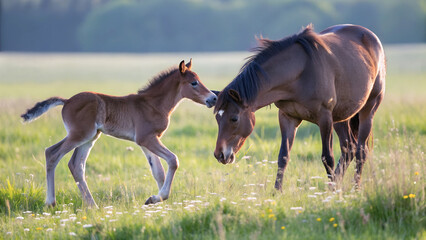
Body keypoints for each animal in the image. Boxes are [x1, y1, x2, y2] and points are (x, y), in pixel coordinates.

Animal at [21, 59, 216, 207]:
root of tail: (67, 100)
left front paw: (157, 201)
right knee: (52, 153)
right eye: (194, 83)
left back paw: (92, 206)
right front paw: (157, 199)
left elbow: (158, 172)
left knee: (76, 165)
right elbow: (173, 160)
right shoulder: (146, 138)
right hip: (80, 134)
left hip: (90, 137)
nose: (213, 98)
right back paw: (51, 202)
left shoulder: (147, 141)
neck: (153, 104)